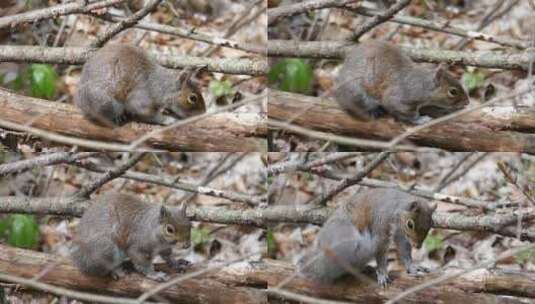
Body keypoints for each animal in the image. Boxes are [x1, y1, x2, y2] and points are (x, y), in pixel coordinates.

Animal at [75, 44, 207, 127]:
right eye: (192, 98)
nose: (204, 113)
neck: (160, 86)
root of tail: (80, 102)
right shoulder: (141, 99)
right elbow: (147, 114)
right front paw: (168, 120)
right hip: (107, 102)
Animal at [300, 188, 438, 288]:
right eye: (410, 224)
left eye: (431, 223)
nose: (418, 246)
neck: (395, 209)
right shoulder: (381, 225)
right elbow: (381, 255)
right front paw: (382, 273)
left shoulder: (400, 234)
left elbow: (404, 250)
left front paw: (412, 267)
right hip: (346, 241)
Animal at [336, 41, 468, 124]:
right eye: (453, 92)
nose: (467, 102)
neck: (421, 84)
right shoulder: (400, 98)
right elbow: (405, 112)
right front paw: (420, 120)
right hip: (357, 92)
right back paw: (373, 110)